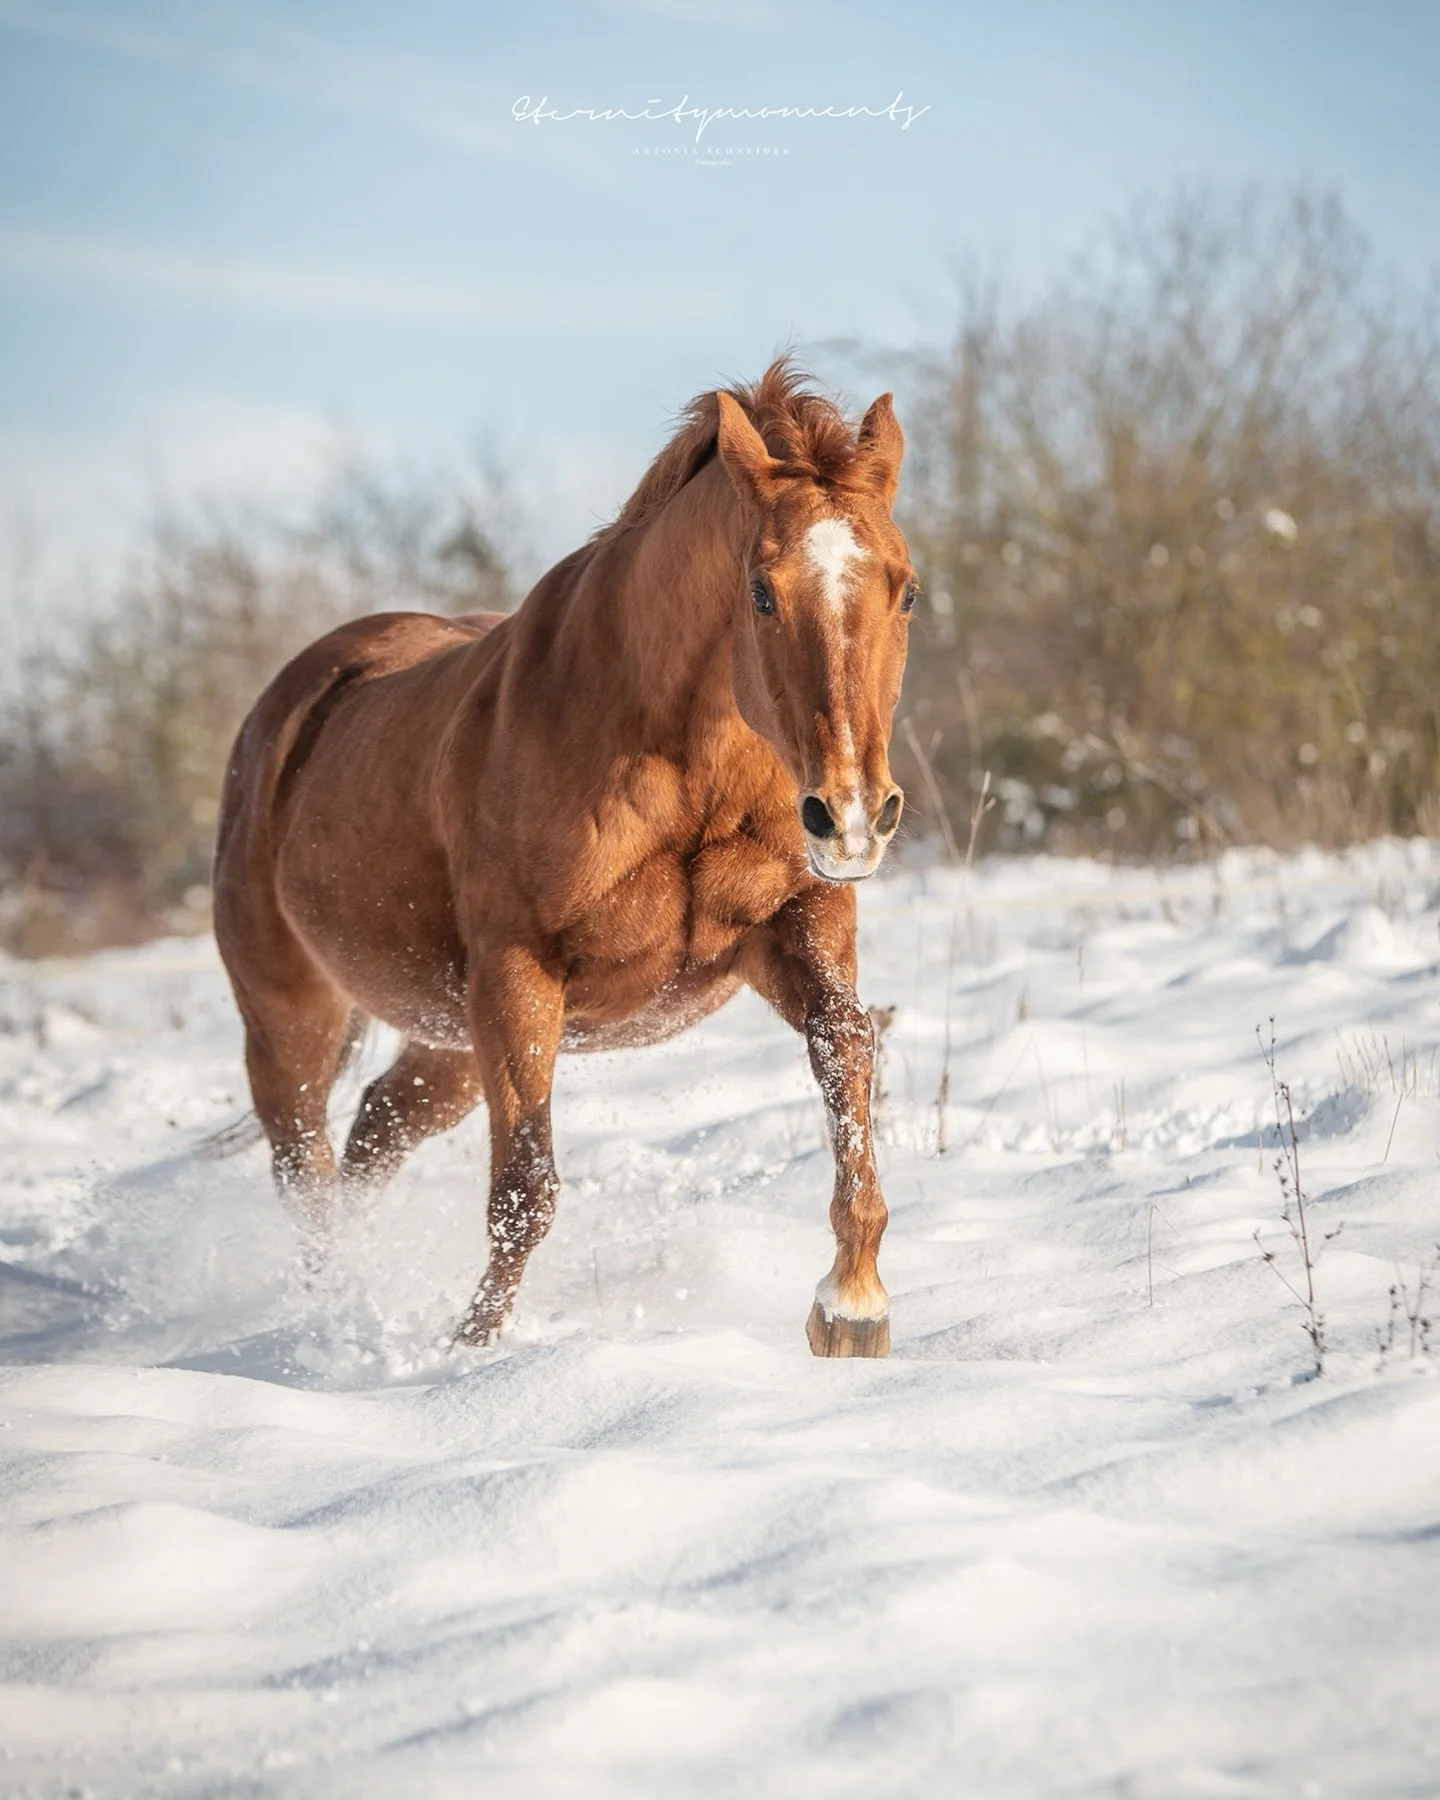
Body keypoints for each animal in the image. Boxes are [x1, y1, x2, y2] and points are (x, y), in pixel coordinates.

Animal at [212, 357, 918, 1357]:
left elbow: (847, 1049)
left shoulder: (794, 927)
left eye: (907, 589)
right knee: (306, 1174)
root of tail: (302, 695)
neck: (681, 760)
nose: (851, 817)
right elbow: (525, 1190)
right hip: (294, 1021)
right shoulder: (519, 977)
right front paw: (470, 1353)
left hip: (447, 1039)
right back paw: (330, 1317)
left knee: (373, 1136)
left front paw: (852, 1307)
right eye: (762, 592)